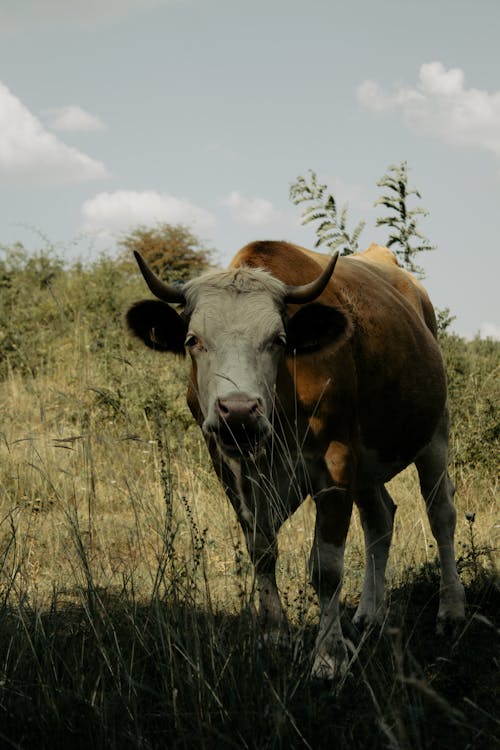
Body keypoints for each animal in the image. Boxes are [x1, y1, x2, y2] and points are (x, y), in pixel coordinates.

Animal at [127, 241, 466, 680]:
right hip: (367, 462)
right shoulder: (229, 466)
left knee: (441, 513)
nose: (239, 411)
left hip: (434, 430)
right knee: (380, 519)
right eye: (192, 340)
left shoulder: (336, 461)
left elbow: (326, 568)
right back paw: (370, 614)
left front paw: (329, 655)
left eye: (278, 339)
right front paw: (274, 636)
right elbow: (262, 550)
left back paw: (451, 611)